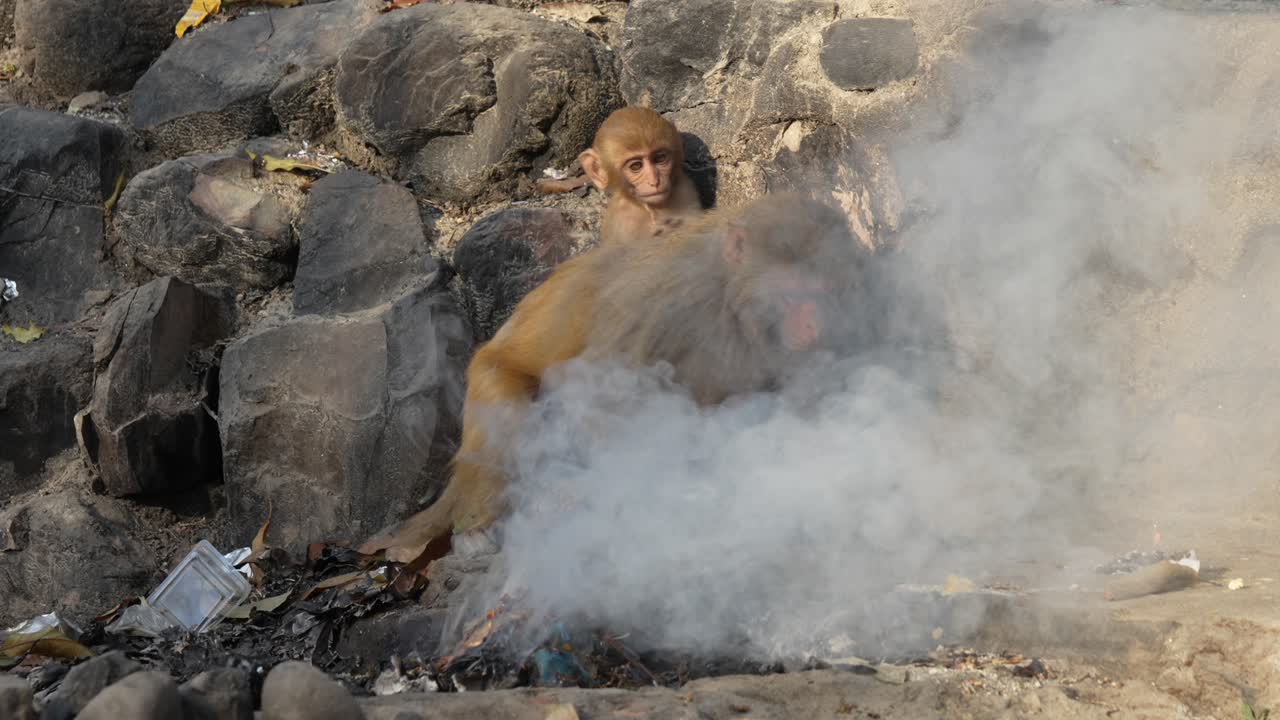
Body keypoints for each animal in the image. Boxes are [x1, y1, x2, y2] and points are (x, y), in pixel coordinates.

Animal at [361, 193, 870, 562]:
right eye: (794, 294)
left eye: (827, 293)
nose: (814, 328)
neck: (727, 293)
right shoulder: (671, 304)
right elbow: (601, 397)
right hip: (487, 385)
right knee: (512, 419)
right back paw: (487, 525)